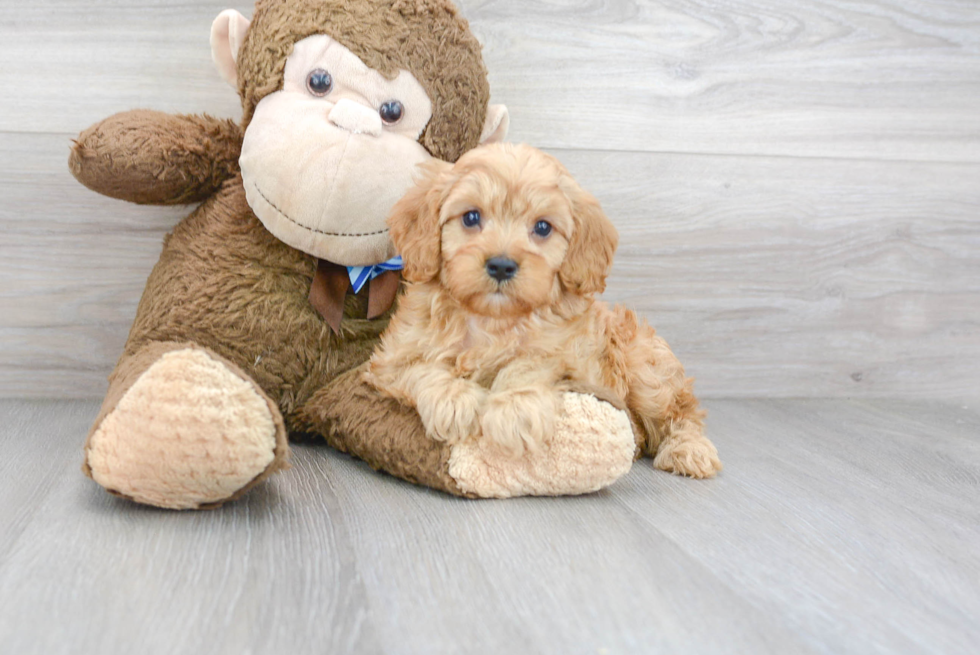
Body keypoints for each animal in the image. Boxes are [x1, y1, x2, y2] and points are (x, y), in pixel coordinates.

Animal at [366, 145, 720, 476]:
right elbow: (419, 369)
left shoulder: (572, 360)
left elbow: (530, 363)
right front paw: (453, 400)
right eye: (470, 217)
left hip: (644, 366)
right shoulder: (387, 362)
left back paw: (690, 449)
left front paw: (514, 409)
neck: (491, 320)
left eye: (543, 228)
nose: (501, 265)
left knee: (681, 412)